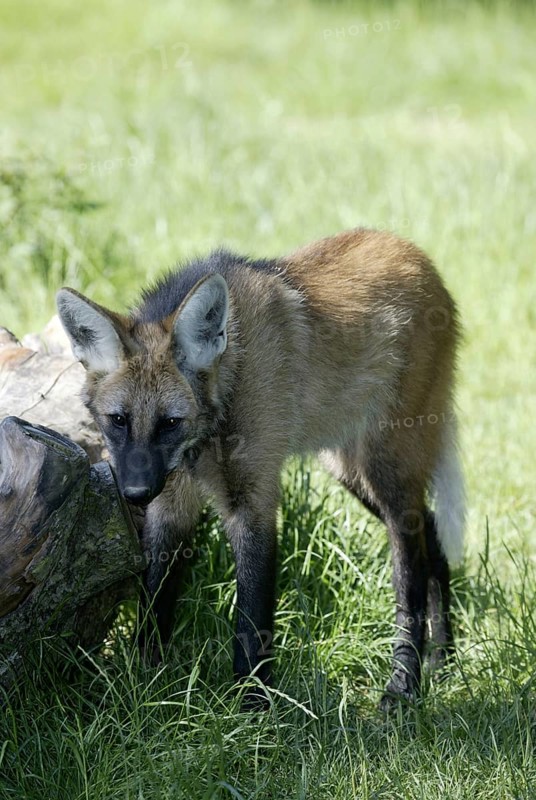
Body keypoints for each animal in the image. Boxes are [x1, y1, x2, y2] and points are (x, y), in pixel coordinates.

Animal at [56, 228, 465, 708]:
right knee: (431, 535)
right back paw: (442, 657)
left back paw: (403, 685)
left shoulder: (252, 502)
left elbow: (251, 620)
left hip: (385, 471)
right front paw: (143, 687)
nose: (135, 493)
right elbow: (154, 601)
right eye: (118, 420)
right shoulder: (170, 503)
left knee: (411, 570)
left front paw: (252, 709)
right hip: (352, 473)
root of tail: (417, 254)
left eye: (169, 423)